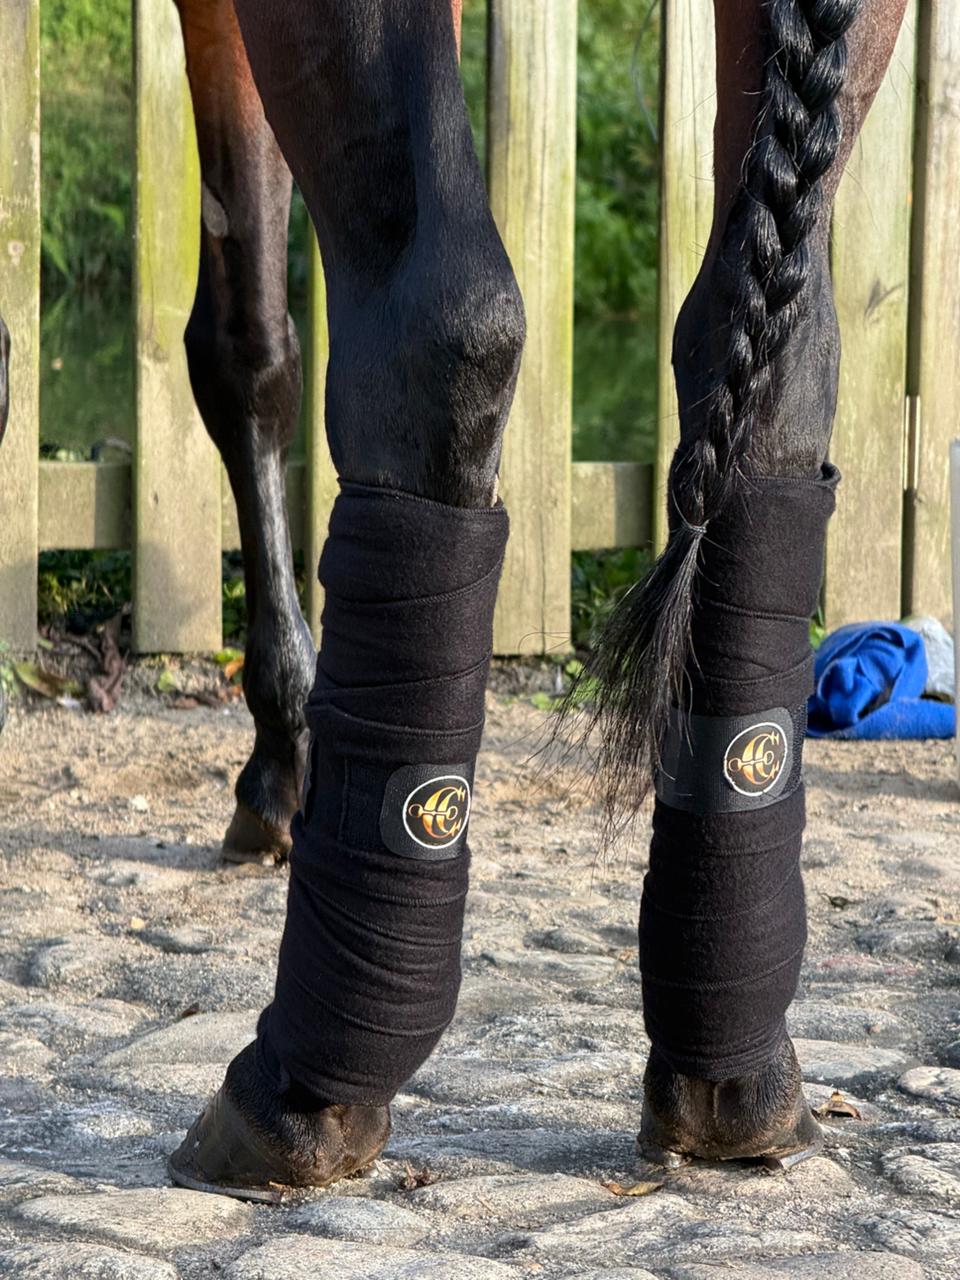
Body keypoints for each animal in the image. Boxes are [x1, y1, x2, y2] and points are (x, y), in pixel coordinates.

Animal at [0, 0, 907, 1198]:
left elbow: (239, 345)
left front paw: (285, 754)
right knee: (770, 340)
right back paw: (736, 1081)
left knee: (446, 325)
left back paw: (299, 1094)